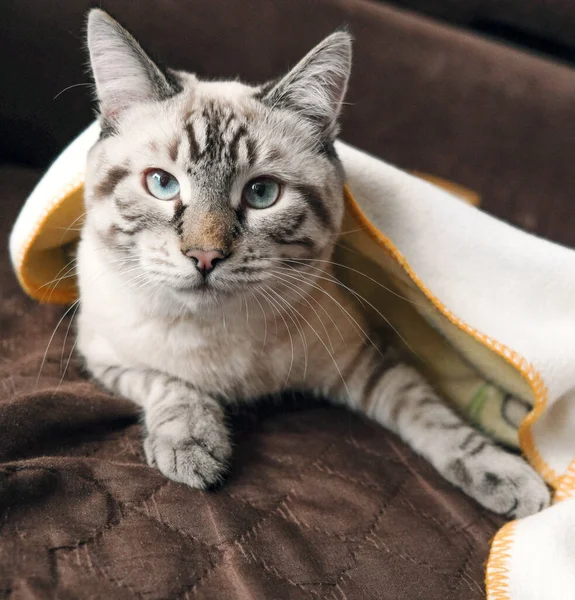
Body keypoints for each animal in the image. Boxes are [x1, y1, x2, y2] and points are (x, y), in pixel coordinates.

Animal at [76, 7, 548, 516]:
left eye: (262, 193)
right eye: (162, 184)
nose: (205, 256)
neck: (223, 342)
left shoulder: (365, 361)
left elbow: (433, 415)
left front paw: (507, 478)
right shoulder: (104, 356)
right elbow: (170, 385)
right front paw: (194, 448)